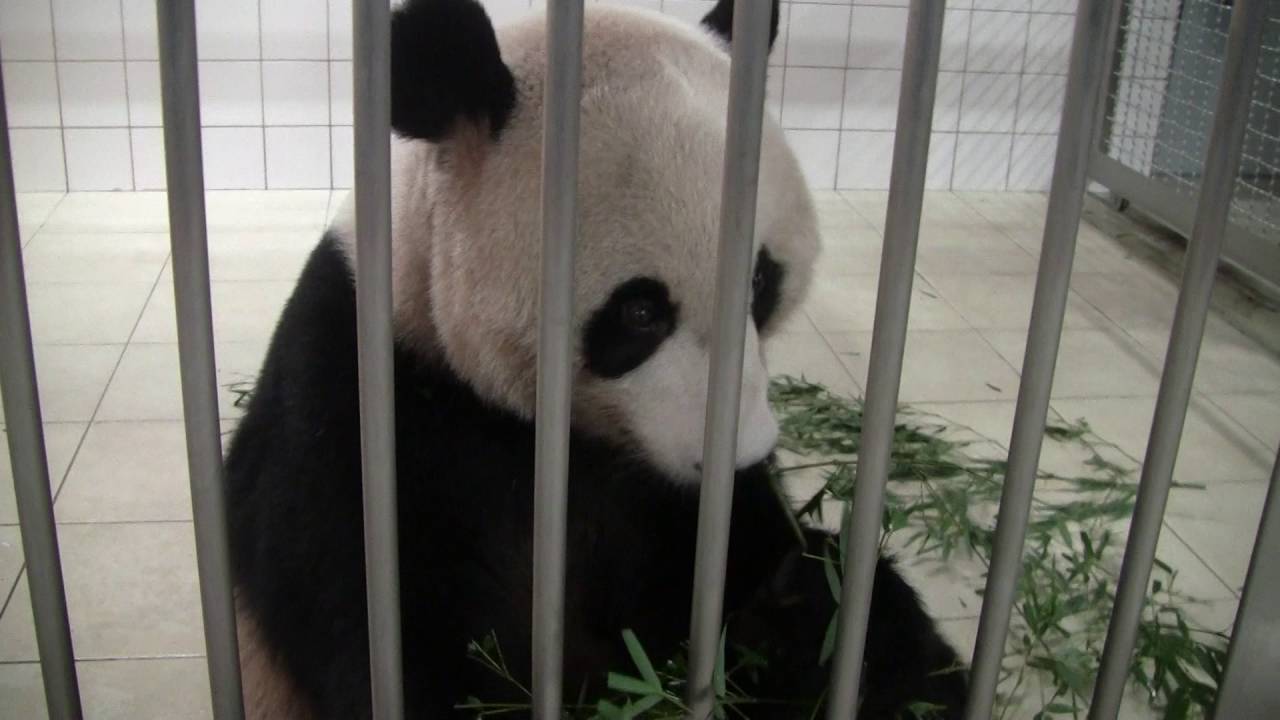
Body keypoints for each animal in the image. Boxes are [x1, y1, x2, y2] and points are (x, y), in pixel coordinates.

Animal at [224, 0, 969, 718]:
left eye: (760, 281)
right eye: (640, 312)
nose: (737, 457)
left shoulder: (674, 507)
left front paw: (820, 619)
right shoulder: (357, 413)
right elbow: (395, 640)